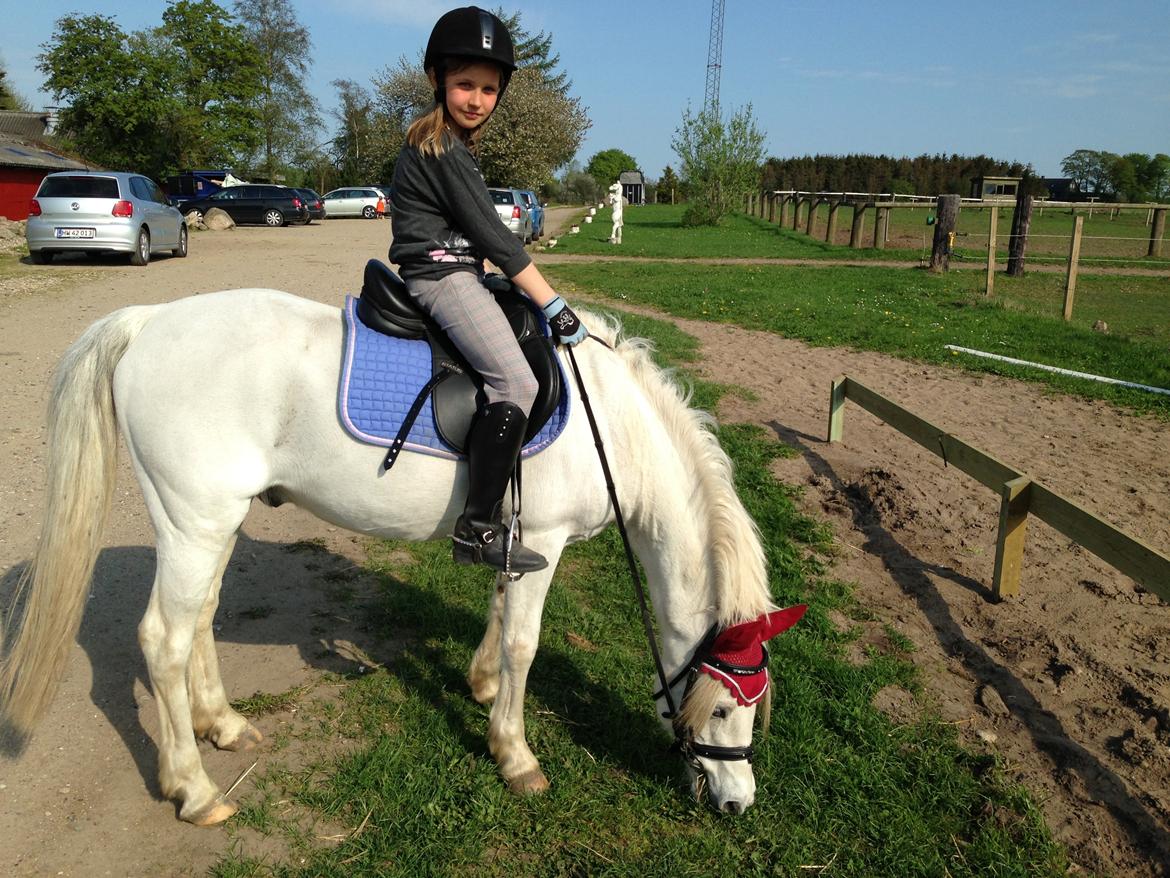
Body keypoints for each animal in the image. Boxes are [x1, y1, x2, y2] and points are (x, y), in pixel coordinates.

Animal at [0, 288, 789, 825]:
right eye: (723, 709)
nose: (738, 801)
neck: (614, 428)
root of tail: (150, 320)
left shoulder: (515, 541)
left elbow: (499, 612)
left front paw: (481, 684)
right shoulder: (547, 537)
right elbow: (525, 644)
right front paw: (515, 754)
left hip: (206, 524)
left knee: (198, 620)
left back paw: (220, 724)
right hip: (195, 520)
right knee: (162, 638)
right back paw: (194, 789)